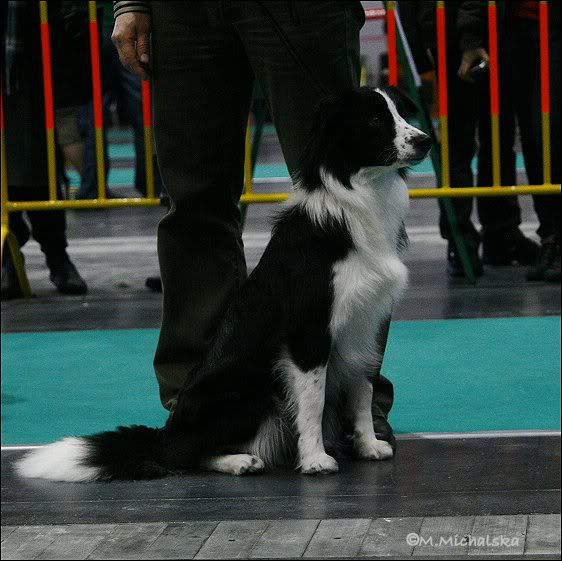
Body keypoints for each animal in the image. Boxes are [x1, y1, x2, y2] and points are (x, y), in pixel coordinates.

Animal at [16, 87, 431, 481]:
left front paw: (369, 445)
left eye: (402, 112)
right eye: (374, 120)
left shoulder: (365, 323)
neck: (361, 194)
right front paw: (315, 460)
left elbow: (361, 390)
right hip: (250, 392)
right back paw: (240, 461)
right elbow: (312, 402)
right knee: (183, 456)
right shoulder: (309, 332)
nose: (425, 141)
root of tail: (166, 432)